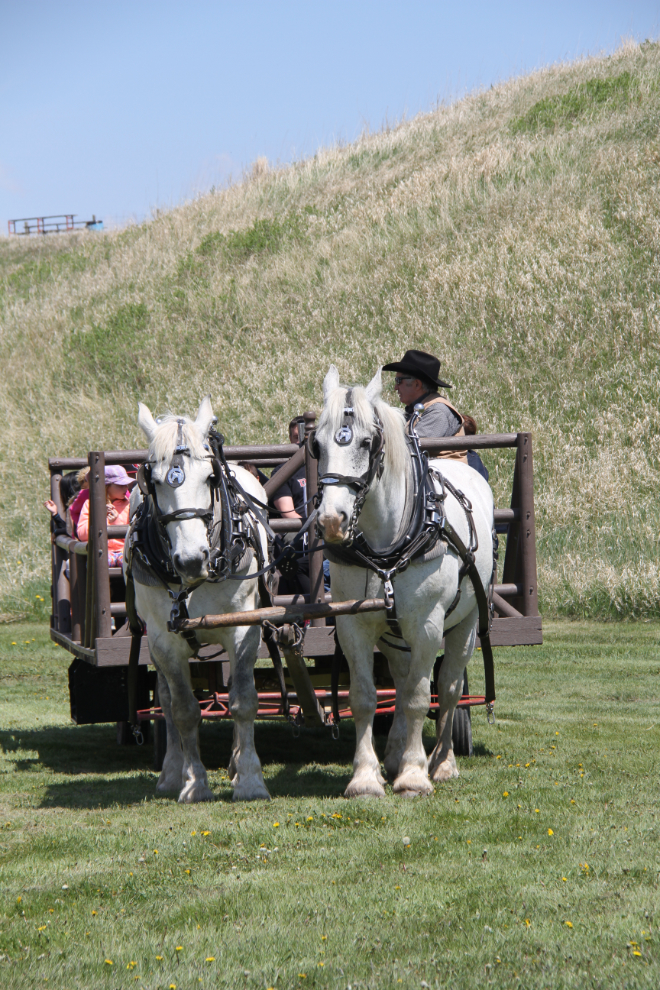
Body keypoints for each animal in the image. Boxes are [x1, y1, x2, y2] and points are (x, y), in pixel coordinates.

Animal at [126, 398, 270, 808]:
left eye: (209, 478)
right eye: (155, 482)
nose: (190, 560)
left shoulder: (243, 629)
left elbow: (243, 700)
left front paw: (249, 779)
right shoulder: (164, 640)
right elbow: (184, 710)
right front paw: (194, 783)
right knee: (165, 699)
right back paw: (173, 772)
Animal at [316, 368, 496, 804]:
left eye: (366, 443)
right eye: (316, 445)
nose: (331, 521)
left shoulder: (427, 626)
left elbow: (419, 697)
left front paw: (415, 775)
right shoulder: (353, 626)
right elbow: (364, 697)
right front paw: (365, 777)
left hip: (465, 625)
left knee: (448, 687)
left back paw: (442, 762)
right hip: (394, 636)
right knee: (398, 680)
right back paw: (396, 754)